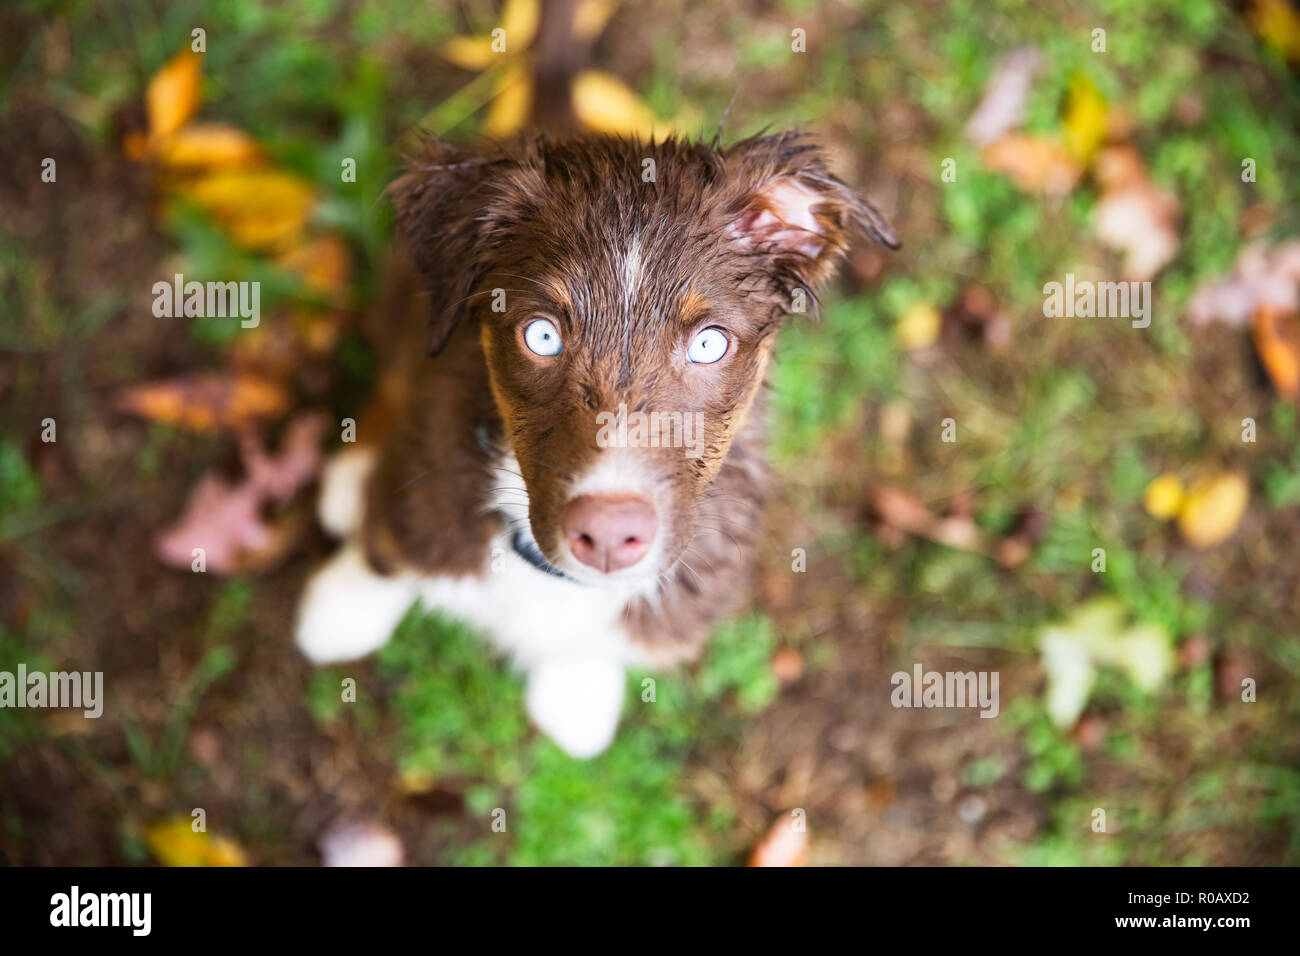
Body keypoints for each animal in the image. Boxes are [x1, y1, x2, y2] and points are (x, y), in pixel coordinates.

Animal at [293, 132, 894, 754]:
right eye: (542, 335)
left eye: (709, 344)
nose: (608, 534)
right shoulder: (426, 483)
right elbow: (387, 548)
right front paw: (342, 611)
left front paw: (576, 692)